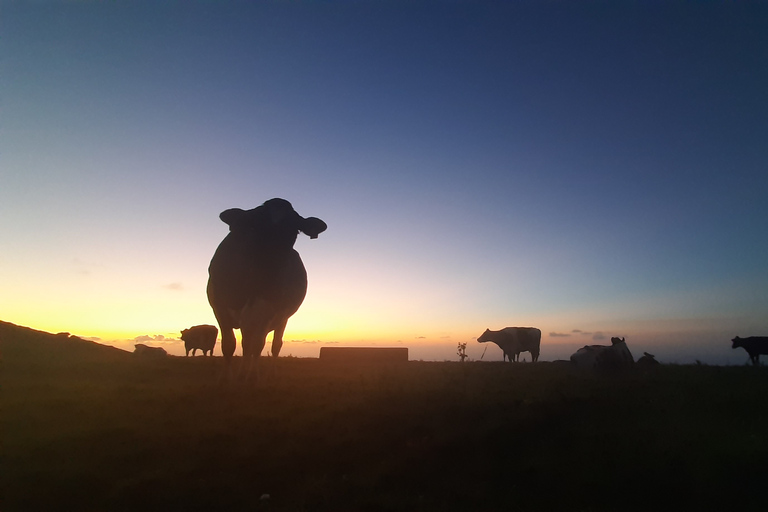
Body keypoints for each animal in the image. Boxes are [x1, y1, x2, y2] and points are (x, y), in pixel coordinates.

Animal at [206, 198, 326, 378]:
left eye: (295, 230)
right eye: (256, 225)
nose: (276, 265)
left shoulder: (267, 311)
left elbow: (258, 345)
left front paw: (252, 376)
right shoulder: (220, 307)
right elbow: (229, 345)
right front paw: (228, 377)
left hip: (281, 317)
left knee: (273, 345)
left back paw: (267, 372)